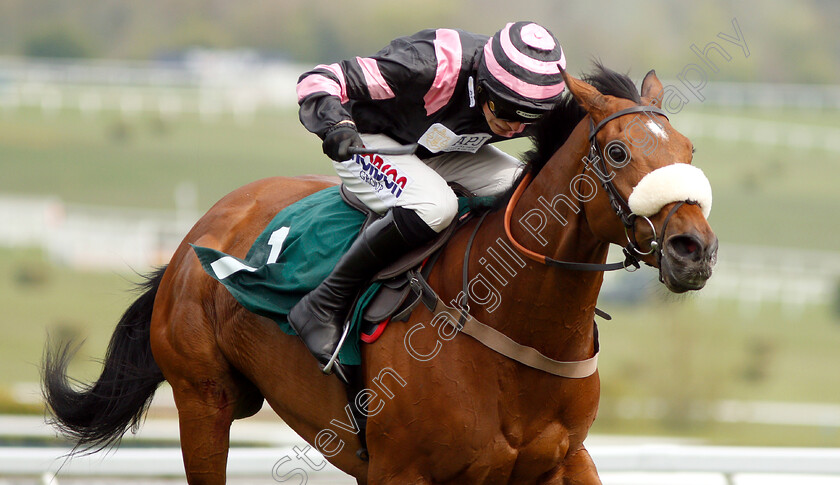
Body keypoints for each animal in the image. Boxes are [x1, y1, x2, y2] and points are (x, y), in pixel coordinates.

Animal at [42, 65, 716, 484]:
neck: (514, 327)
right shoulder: (402, 471)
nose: (695, 249)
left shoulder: (563, 461)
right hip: (203, 401)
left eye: (688, 151)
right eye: (618, 152)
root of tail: (191, 239)